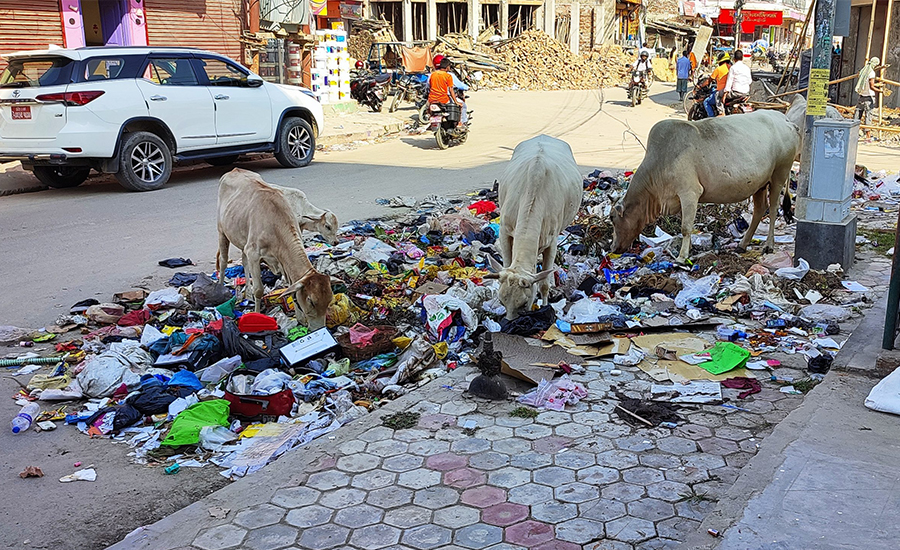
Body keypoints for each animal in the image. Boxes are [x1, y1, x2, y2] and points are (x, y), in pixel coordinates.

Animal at [215, 168, 334, 330]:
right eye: (311, 301)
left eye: (329, 299)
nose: (321, 329)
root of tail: (234, 170)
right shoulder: (254, 253)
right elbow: (259, 290)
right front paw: (257, 315)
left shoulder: (281, 260)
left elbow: (290, 287)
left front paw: (300, 318)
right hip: (222, 231)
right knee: (223, 261)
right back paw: (221, 289)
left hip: (242, 238)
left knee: (244, 262)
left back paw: (248, 293)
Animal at [488, 135, 580, 322]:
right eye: (501, 301)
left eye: (524, 303)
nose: (509, 323)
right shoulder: (505, 231)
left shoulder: (552, 240)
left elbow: (543, 283)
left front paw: (545, 306)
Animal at [608, 110, 800, 264]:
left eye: (612, 218)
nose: (613, 248)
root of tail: (785, 119)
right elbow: (686, 226)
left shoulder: (689, 192)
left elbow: (685, 228)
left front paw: (682, 257)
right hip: (760, 184)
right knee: (760, 209)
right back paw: (743, 244)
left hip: (779, 174)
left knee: (773, 209)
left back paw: (768, 245)